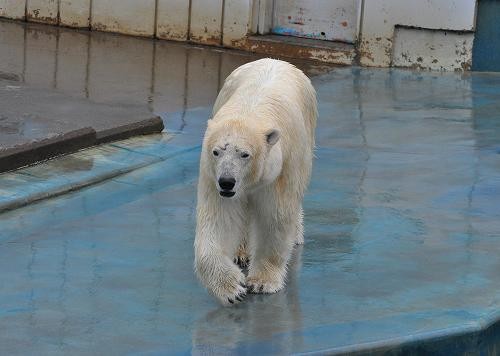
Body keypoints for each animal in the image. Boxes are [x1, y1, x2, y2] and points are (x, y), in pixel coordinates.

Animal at [194, 58, 316, 306]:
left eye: (245, 154)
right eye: (216, 152)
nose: (227, 182)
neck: (250, 111)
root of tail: (276, 60)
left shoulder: (280, 170)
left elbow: (274, 217)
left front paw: (262, 282)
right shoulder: (212, 174)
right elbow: (220, 220)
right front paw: (231, 288)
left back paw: (296, 237)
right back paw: (241, 252)